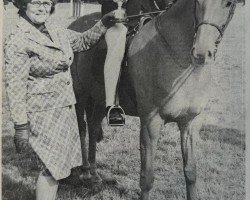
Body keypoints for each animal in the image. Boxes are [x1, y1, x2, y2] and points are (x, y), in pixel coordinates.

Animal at [68, 0, 244, 198]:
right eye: (198, 2)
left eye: (228, 4)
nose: (201, 53)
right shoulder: (150, 124)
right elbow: (147, 178)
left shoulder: (189, 124)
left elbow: (191, 172)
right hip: (79, 97)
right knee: (82, 129)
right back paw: (85, 172)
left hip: (98, 99)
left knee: (92, 126)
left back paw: (95, 176)